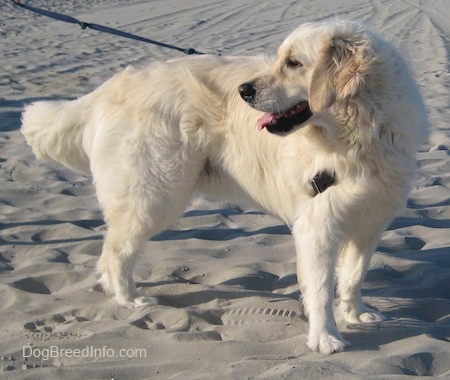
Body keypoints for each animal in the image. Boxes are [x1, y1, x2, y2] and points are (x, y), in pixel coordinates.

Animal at [21, 20, 428, 354]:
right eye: (281, 59)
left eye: (293, 63)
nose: (243, 91)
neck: (359, 132)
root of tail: (104, 90)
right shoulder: (317, 225)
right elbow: (320, 287)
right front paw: (325, 337)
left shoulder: (371, 220)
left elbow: (354, 275)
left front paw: (356, 313)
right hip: (153, 197)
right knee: (113, 254)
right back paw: (129, 300)